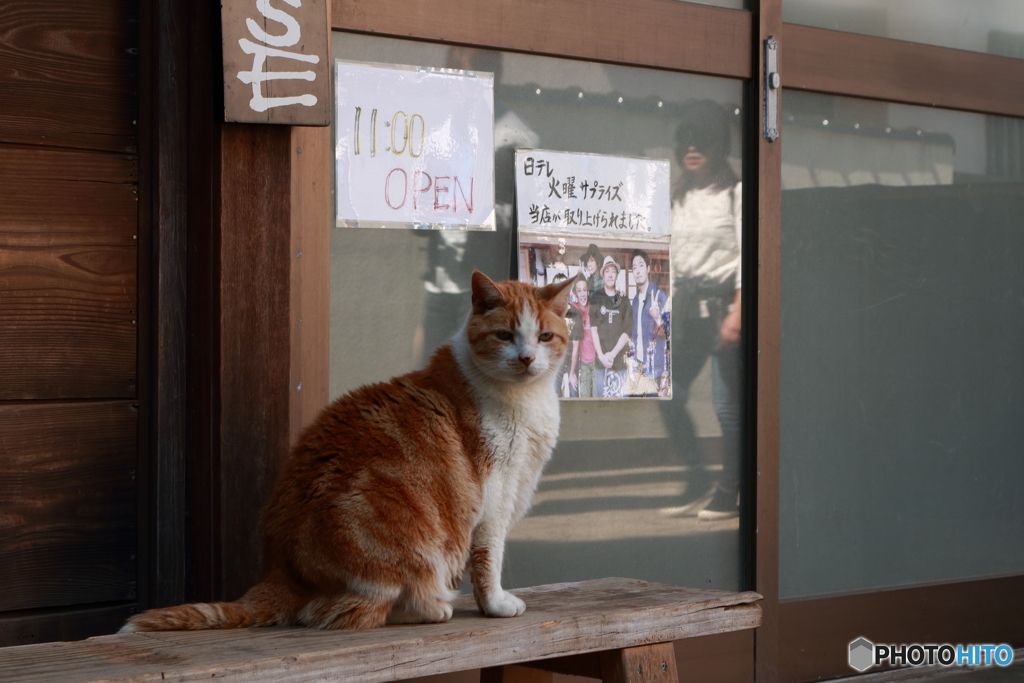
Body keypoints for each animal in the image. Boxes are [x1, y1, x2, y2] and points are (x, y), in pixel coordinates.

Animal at [119, 270, 577, 634]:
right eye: (504, 336)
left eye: (544, 337)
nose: (526, 358)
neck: (523, 397)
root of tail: (279, 567)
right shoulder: (494, 499)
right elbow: (487, 560)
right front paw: (496, 604)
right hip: (402, 547)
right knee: (350, 612)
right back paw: (432, 607)